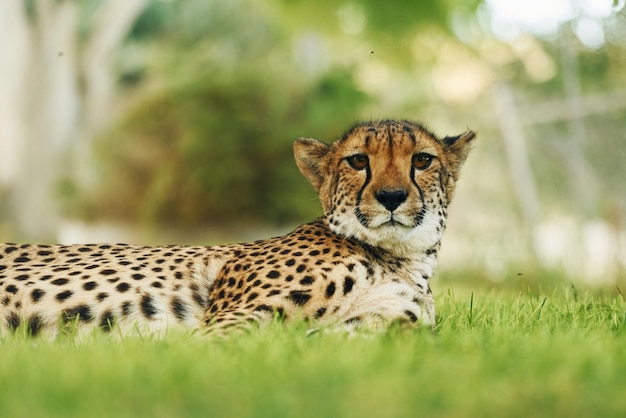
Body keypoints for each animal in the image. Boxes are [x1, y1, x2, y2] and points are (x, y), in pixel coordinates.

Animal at [0, 119, 472, 338]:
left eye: (422, 160)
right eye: (358, 161)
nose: (391, 196)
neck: (397, 258)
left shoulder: (380, 325)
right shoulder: (227, 320)